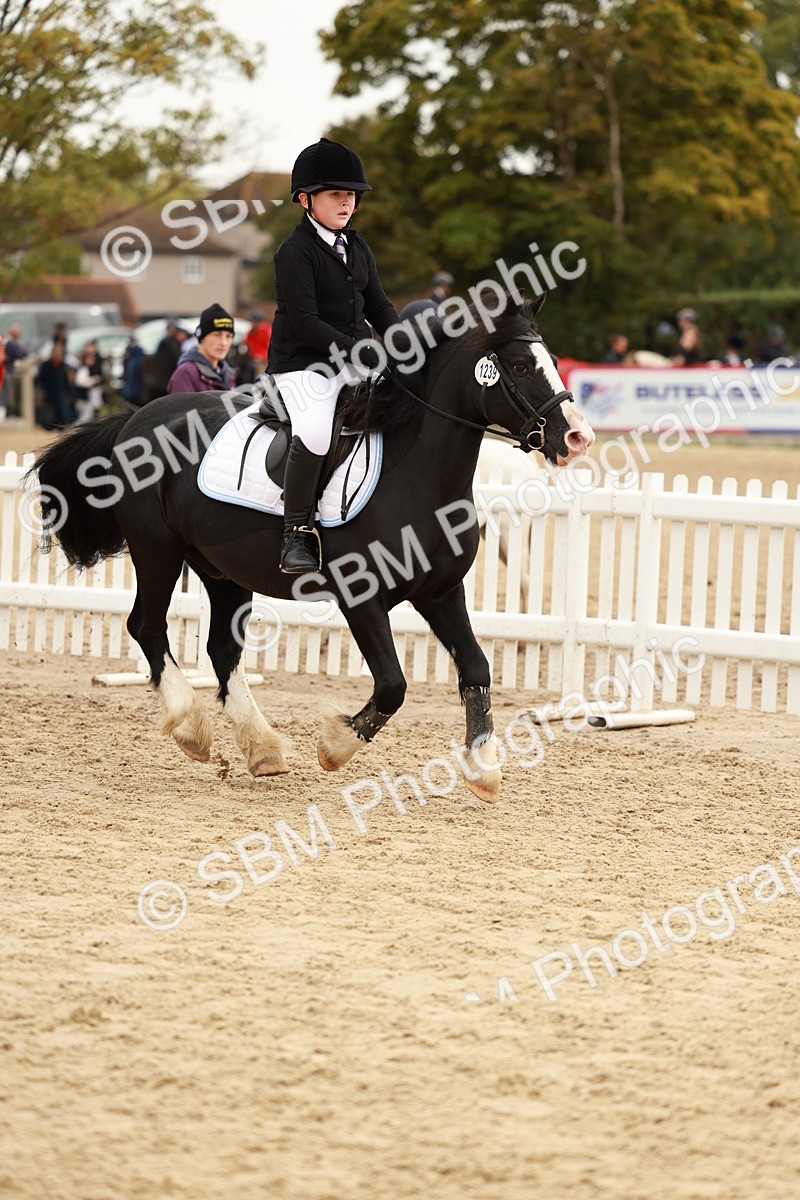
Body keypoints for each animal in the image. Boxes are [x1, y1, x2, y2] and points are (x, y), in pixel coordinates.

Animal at [32, 295, 594, 803]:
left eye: (551, 360)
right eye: (520, 366)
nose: (578, 438)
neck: (420, 476)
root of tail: (133, 418)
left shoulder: (440, 593)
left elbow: (476, 669)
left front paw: (483, 768)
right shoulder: (361, 598)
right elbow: (393, 685)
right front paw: (335, 746)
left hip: (222, 571)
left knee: (222, 651)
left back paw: (262, 749)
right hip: (157, 551)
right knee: (146, 627)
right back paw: (191, 727)